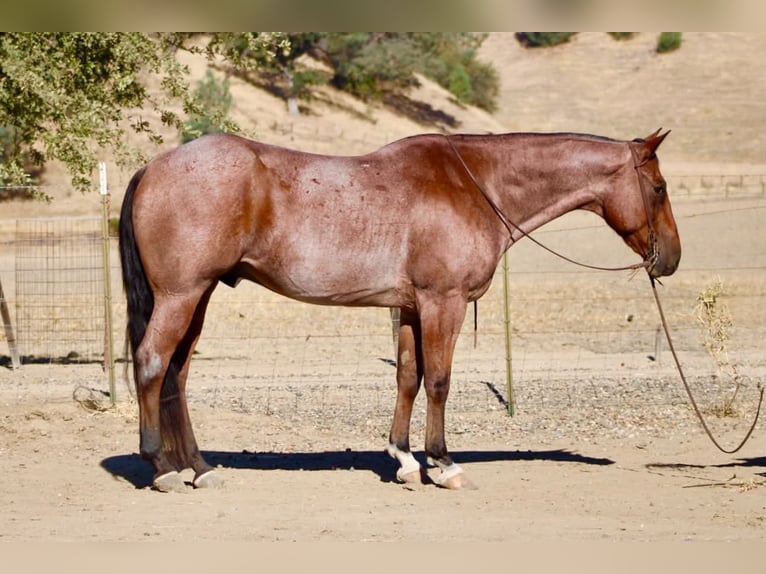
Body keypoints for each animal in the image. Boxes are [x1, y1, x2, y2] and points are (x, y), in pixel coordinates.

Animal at [119, 129, 681, 492]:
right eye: (658, 188)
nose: (671, 259)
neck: (475, 184)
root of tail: (152, 167)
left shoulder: (411, 309)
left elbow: (408, 378)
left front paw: (405, 459)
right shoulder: (442, 302)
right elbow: (439, 382)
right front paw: (444, 464)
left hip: (199, 296)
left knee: (176, 374)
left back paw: (199, 467)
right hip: (182, 294)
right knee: (152, 364)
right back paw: (162, 468)